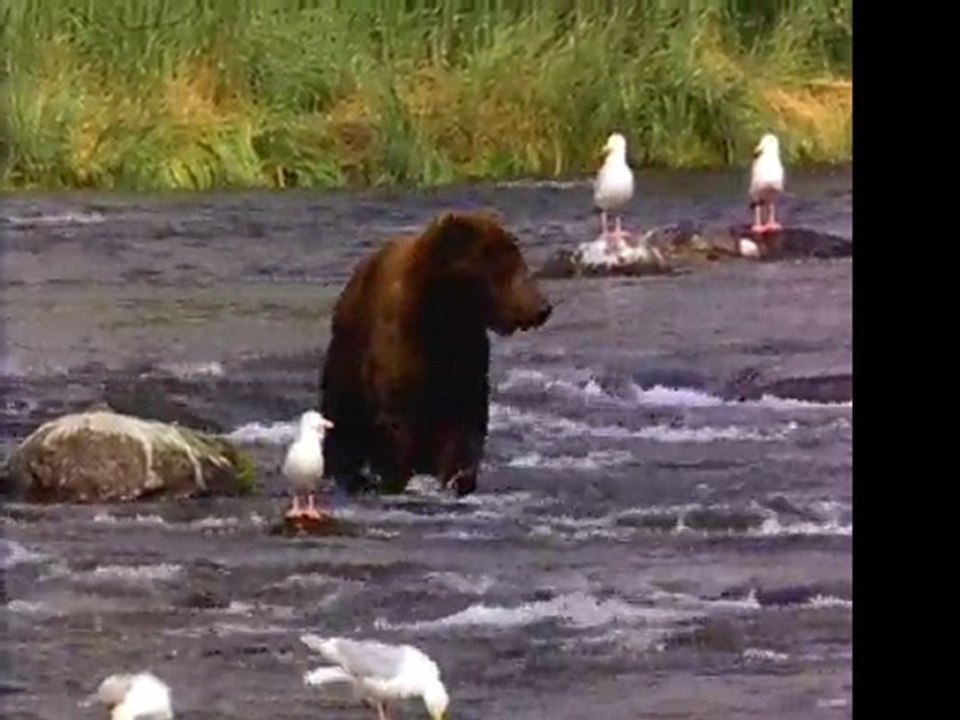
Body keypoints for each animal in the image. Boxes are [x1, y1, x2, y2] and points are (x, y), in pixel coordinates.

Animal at [320, 211, 553, 497]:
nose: (542, 308)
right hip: (347, 360)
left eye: (519, 260)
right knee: (343, 426)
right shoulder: (404, 354)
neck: (442, 315)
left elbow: (465, 426)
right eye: (502, 268)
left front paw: (458, 480)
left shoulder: (465, 357)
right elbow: (396, 429)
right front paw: (394, 479)